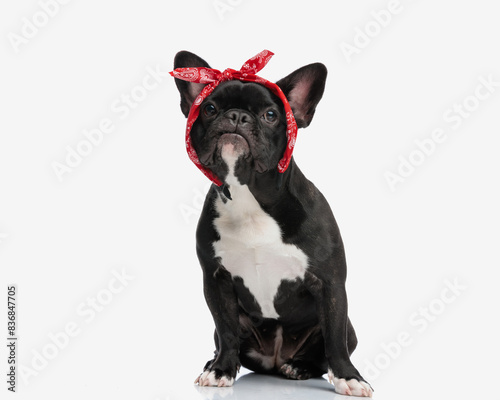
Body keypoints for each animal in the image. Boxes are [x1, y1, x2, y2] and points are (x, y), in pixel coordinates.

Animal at [174, 50, 374, 396]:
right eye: (210, 108)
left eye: (270, 114)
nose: (237, 116)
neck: (250, 197)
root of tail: (276, 360)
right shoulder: (216, 280)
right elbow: (226, 330)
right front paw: (221, 369)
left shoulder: (330, 283)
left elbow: (335, 338)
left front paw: (349, 377)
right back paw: (215, 362)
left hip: (346, 328)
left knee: (328, 348)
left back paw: (301, 366)